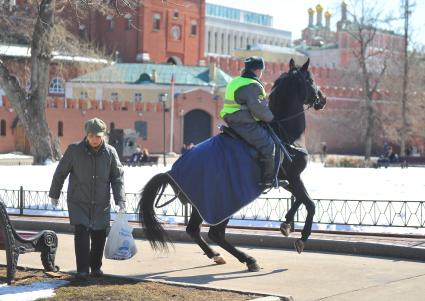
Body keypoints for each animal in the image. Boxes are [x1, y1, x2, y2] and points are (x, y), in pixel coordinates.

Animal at [137, 58, 326, 272]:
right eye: (310, 80)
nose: (323, 99)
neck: (282, 131)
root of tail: (170, 171)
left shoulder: (287, 180)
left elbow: (300, 200)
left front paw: (286, 223)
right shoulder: (293, 177)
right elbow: (310, 204)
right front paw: (302, 238)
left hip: (200, 205)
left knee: (194, 229)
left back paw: (216, 255)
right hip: (222, 204)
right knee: (215, 233)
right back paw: (248, 259)